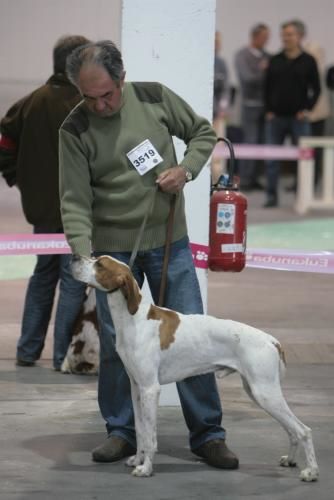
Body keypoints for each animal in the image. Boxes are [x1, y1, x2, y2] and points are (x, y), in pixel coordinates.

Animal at [70, 254, 318, 480]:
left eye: (100, 264)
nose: (73, 258)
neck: (134, 319)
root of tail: (271, 340)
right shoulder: (137, 388)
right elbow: (141, 431)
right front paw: (138, 460)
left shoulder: (151, 389)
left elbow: (150, 435)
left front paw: (146, 468)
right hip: (258, 392)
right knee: (292, 431)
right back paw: (291, 460)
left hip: (265, 393)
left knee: (303, 430)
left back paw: (311, 471)